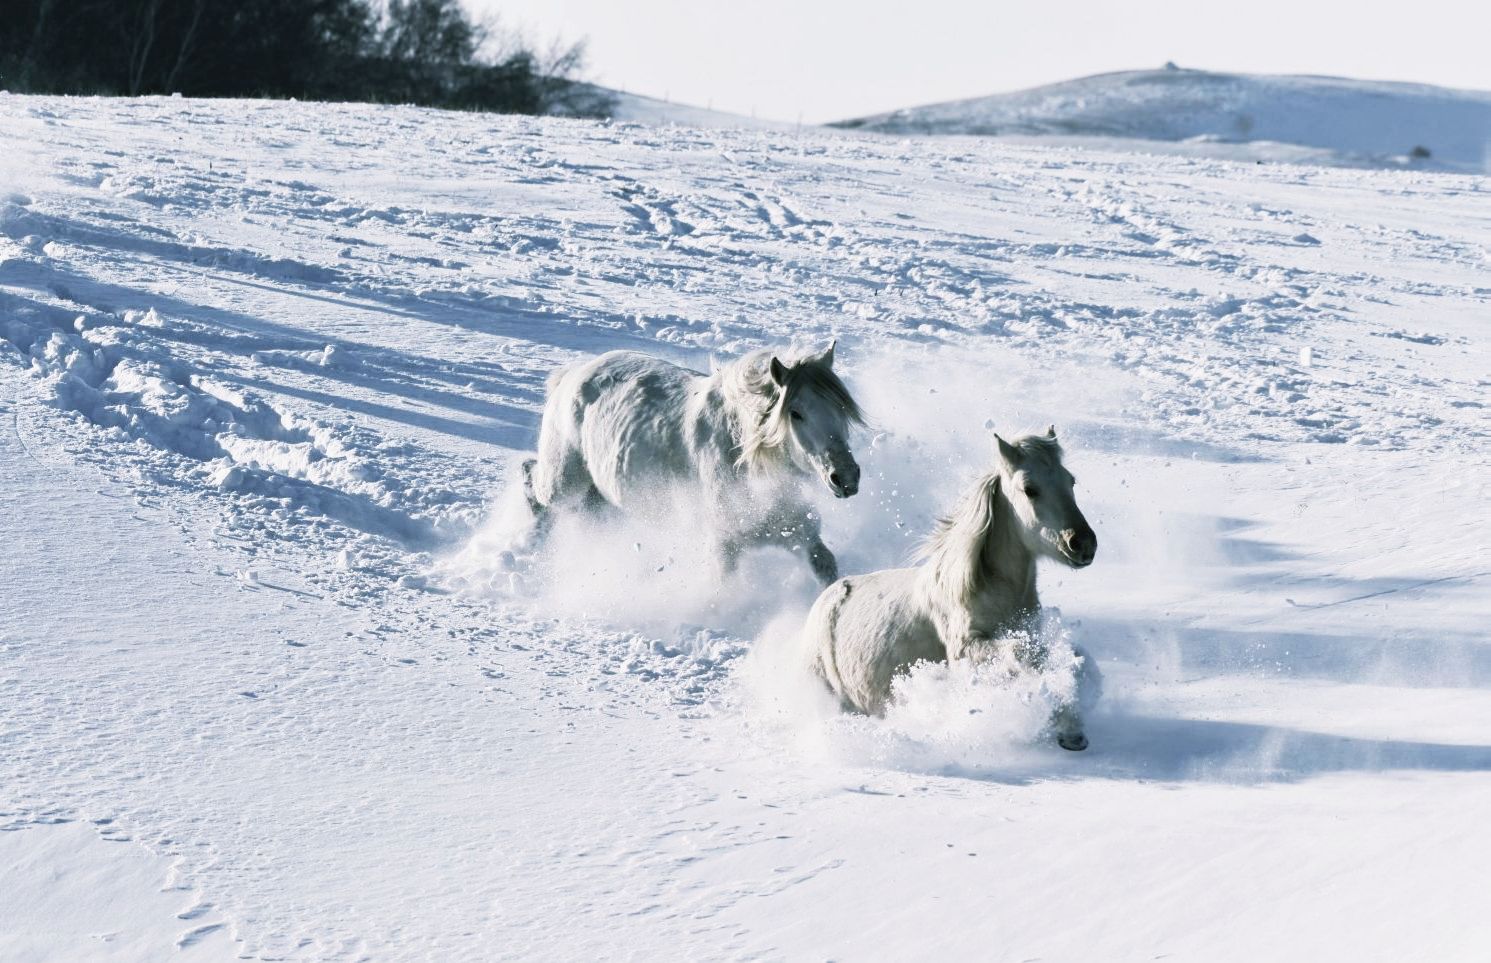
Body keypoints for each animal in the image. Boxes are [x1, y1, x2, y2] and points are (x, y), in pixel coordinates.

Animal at [524, 347, 870, 587]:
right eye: (795, 413)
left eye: (841, 408)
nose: (845, 477)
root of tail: (573, 372)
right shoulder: (724, 548)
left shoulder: (801, 534)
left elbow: (826, 569)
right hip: (563, 481)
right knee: (533, 483)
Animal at [805, 429, 1097, 754]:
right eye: (1029, 489)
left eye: (1070, 481)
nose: (1083, 544)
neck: (988, 590)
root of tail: (826, 596)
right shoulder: (965, 650)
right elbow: (1022, 652)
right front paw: (1065, 726)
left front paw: (1073, 731)